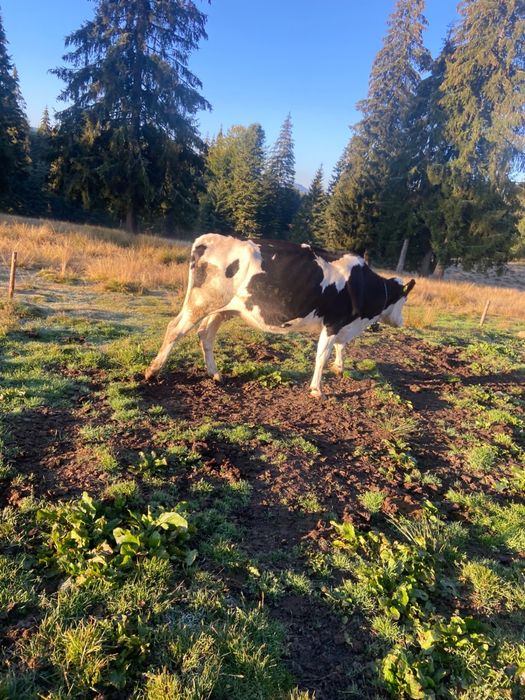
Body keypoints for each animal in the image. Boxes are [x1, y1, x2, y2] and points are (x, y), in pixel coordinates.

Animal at [145, 233, 415, 397]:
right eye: (404, 300)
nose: (402, 321)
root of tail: (209, 238)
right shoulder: (333, 322)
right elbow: (322, 356)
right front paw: (317, 390)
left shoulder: (343, 324)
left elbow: (341, 348)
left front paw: (339, 369)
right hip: (201, 301)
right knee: (175, 329)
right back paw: (153, 371)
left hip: (224, 309)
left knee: (205, 335)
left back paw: (215, 374)